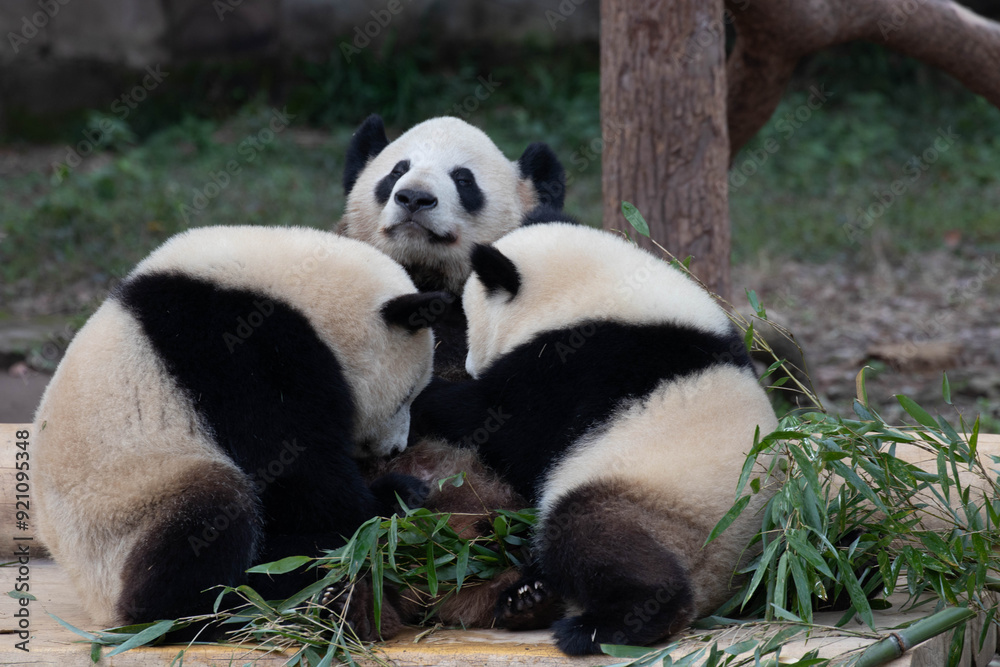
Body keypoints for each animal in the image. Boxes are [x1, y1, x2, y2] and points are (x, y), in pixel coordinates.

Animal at [33, 225, 442, 635]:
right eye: (406, 396)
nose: (395, 450)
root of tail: (95, 603)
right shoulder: (231, 345)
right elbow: (291, 466)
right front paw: (392, 500)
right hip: (128, 513)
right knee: (211, 515)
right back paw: (244, 596)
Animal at [411, 222, 780, 654]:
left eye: (471, 320)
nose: (470, 365)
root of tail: (729, 577)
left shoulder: (575, 362)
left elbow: (497, 423)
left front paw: (426, 397)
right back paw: (526, 600)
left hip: (667, 507)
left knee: (585, 534)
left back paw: (608, 624)